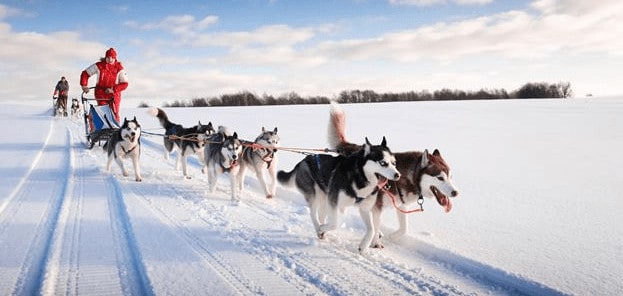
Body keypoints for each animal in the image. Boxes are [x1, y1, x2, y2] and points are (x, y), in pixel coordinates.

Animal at [326, 102, 458, 243]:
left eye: (450, 177)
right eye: (440, 178)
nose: (456, 193)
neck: (406, 177)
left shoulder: (402, 206)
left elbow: (404, 229)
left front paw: (391, 236)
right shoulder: (376, 207)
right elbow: (375, 227)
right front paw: (375, 242)